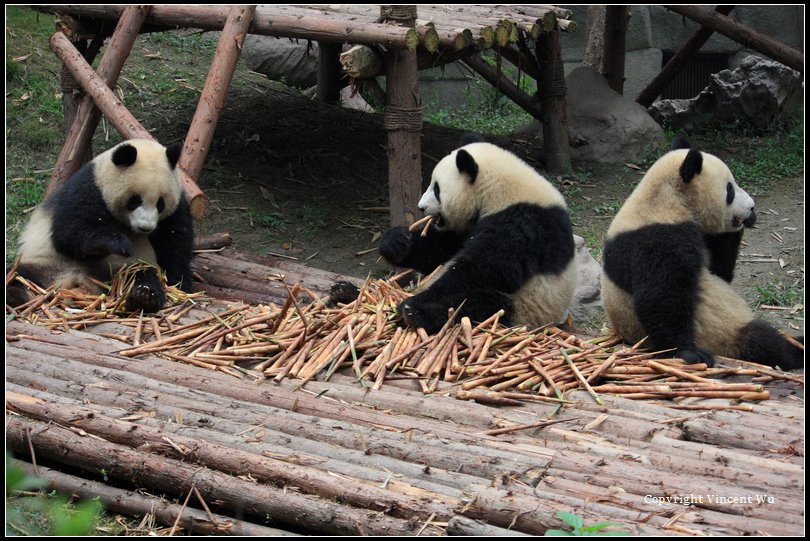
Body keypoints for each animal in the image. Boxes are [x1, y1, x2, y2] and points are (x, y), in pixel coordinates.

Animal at [7, 138, 193, 312]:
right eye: (135, 200)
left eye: (160, 203)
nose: (145, 228)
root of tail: (74, 282)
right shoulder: (89, 187)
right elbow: (70, 232)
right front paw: (119, 243)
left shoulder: (176, 210)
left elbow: (174, 246)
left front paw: (180, 283)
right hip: (46, 264)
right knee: (16, 273)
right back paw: (15, 295)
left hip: (119, 270)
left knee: (142, 275)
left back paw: (143, 296)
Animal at [332, 139, 576, 334]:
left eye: (436, 188)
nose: (420, 207)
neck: (501, 189)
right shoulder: (468, 226)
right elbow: (441, 249)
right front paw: (396, 242)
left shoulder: (522, 224)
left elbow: (484, 269)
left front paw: (415, 305)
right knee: (401, 280)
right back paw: (346, 292)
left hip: (523, 307)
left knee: (476, 304)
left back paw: (414, 312)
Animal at [600, 135, 800, 370]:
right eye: (730, 190)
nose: (751, 208)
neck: (665, 201)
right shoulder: (656, 240)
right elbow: (661, 296)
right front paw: (688, 352)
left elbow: (720, 272)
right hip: (722, 333)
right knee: (762, 340)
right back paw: (792, 350)